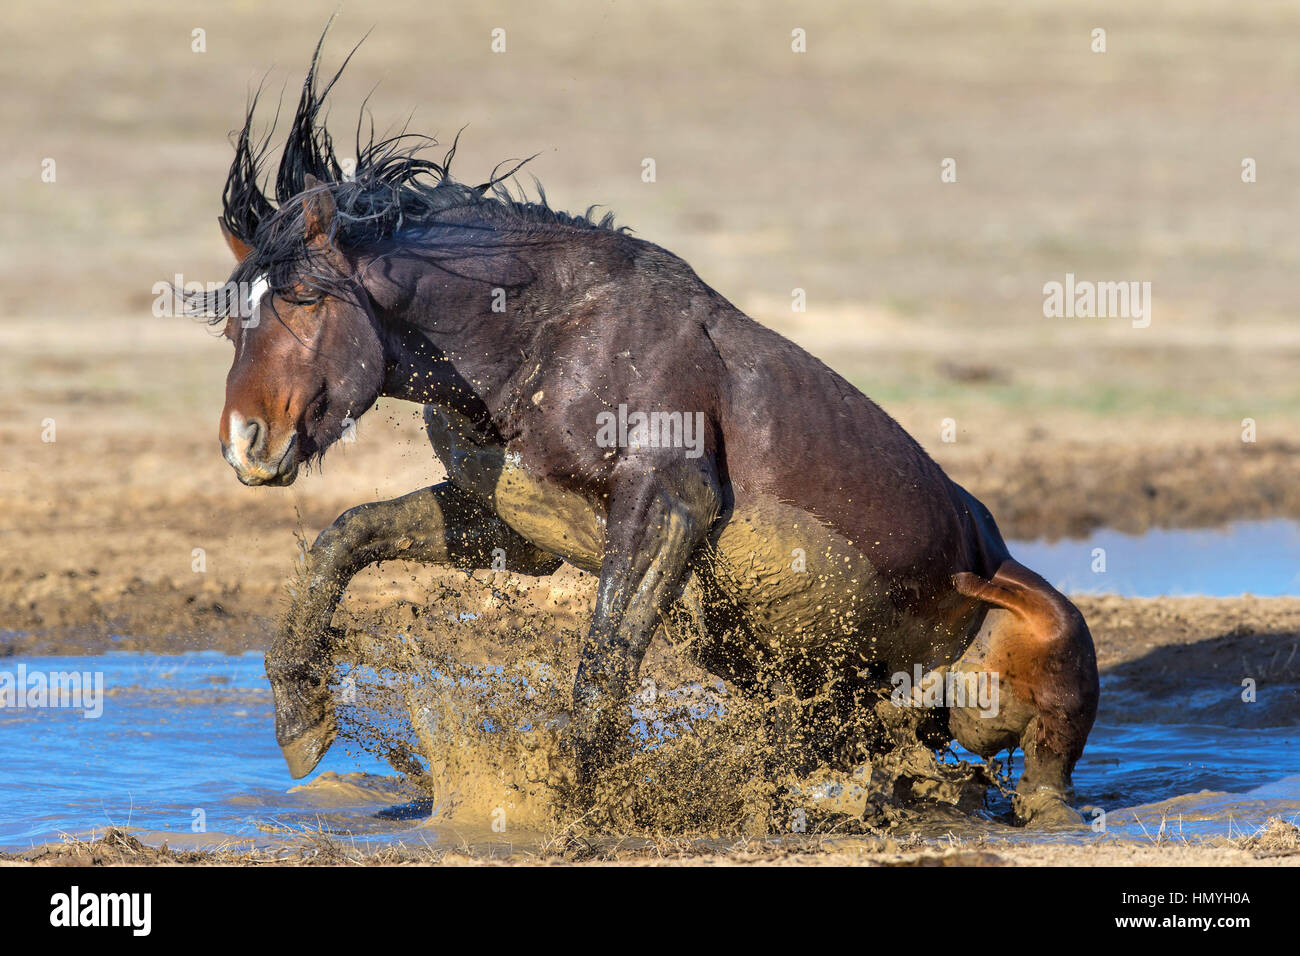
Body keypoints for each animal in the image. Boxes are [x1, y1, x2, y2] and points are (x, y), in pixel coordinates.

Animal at [200, 37, 1097, 827]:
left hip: (1036, 658)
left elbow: (604, 665)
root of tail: (988, 556)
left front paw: (573, 811)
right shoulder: (507, 522)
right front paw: (301, 715)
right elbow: (342, 540)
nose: (246, 442)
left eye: (305, 299)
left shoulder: (669, 503)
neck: (545, 333)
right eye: (230, 322)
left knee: (1040, 779)